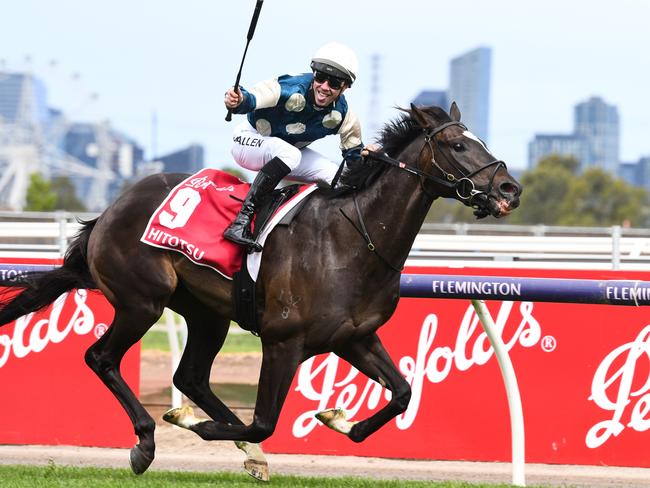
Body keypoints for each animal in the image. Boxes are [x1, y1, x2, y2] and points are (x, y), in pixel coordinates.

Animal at [0, 103, 520, 480]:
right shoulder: (283, 340)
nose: (509, 189)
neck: (353, 238)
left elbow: (403, 393)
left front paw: (339, 420)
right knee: (102, 357)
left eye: (480, 141)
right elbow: (265, 419)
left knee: (191, 376)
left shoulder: (354, 337)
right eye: (457, 144)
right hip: (141, 301)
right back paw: (147, 440)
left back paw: (237, 444)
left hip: (207, 314)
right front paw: (199, 425)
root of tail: (109, 211)